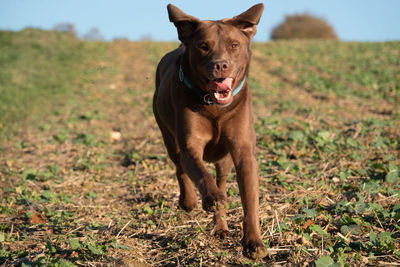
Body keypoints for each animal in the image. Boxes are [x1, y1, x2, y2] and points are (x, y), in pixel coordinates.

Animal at [152, 3, 266, 260]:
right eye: (203, 46)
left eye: (234, 45)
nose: (221, 65)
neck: (214, 106)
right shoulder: (190, 145)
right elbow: (199, 172)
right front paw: (211, 198)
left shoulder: (243, 151)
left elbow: (250, 200)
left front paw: (253, 243)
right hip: (168, 136)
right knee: (180, 167)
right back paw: (190, 201)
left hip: (225, 159)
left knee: (221, 179)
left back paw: (221, 226)